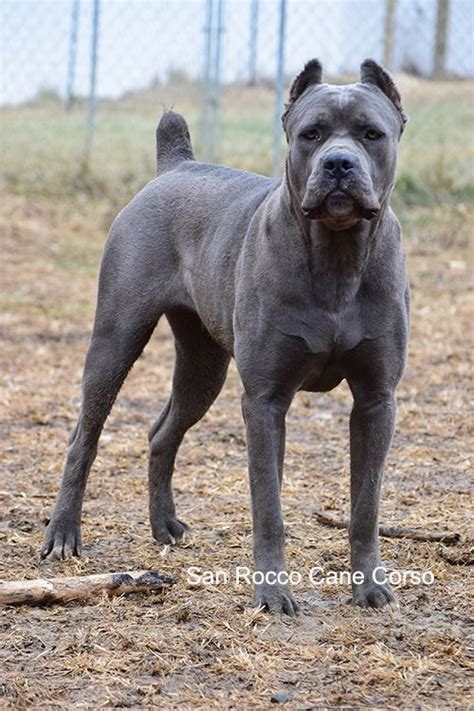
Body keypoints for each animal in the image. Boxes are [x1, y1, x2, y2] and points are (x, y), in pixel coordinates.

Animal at [42, 59, 410, 616]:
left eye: (372, 134)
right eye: (312, 134)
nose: (339, 164)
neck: (336, 257)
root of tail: (174, 167)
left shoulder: (375, 400)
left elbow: (366, 505)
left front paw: (369, 586)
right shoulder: (264, 400)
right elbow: (268, 506)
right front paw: (273, 593)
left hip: (204, 365)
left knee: (162, 433)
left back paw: (164, 527)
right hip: (115, 340)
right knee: (83, 437)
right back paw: (63, 534)